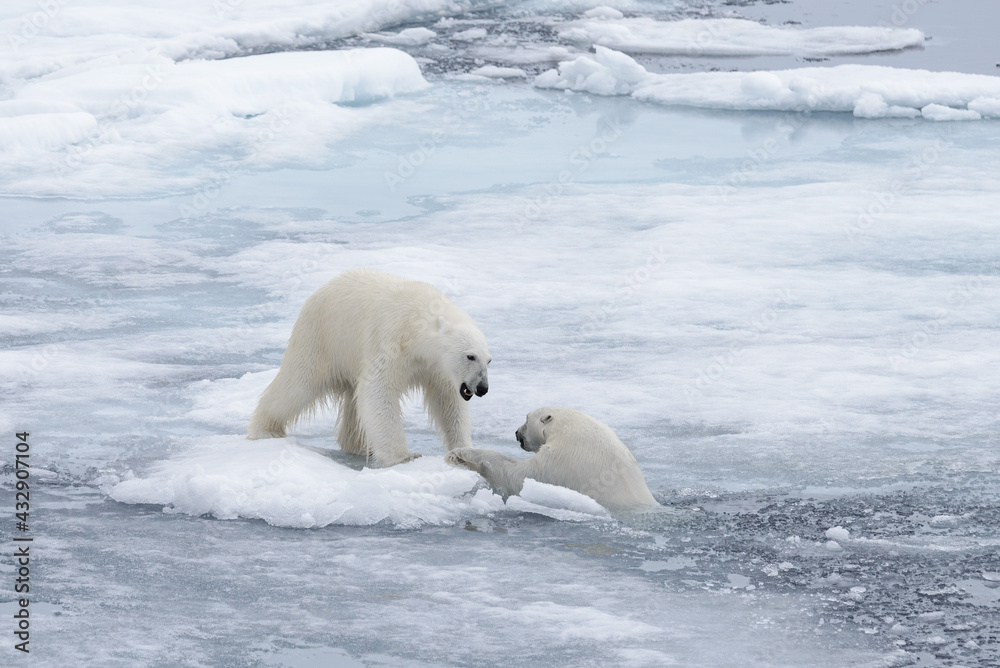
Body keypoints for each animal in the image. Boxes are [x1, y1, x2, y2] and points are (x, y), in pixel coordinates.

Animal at [247, 268, 491, 467]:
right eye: (470, 356)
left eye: (488, 360)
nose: (482, 388)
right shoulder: (391, 342)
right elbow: (379, 390)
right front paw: (404, 456)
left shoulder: (437, 367)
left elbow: (447, 400)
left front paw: (464, 450)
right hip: (322, 338)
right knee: (298, 384)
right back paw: (266, 429)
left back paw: (358, 445)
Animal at [445, 407, 658, 513]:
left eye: (526, 418)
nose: (516, 433)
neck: (567, 429)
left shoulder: (562, 457)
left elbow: (520, 478)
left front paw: (460, 454)